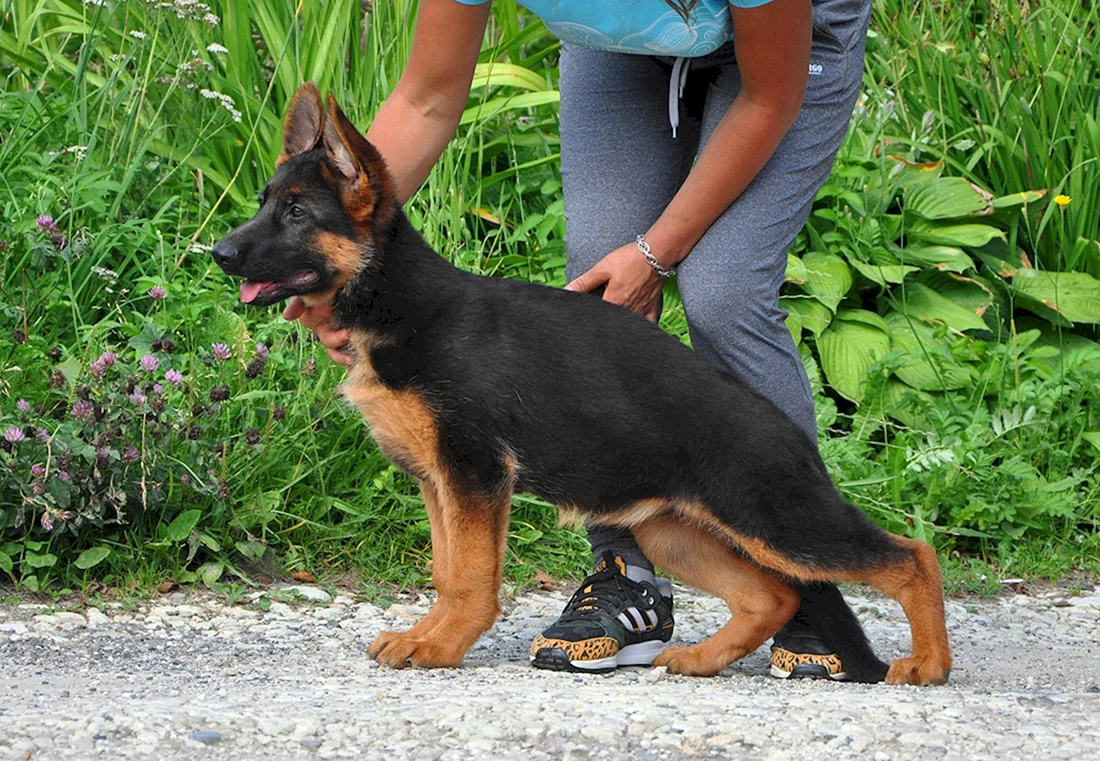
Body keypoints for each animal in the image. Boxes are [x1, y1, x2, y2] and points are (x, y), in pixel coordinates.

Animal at [210, 83, 950, 681]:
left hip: (780, 520)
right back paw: (703, 659)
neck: (398, 304)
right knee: (775, 594)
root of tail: (790, 427)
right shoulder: (438, 481)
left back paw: (929, 664)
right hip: (675, 532)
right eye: (266, 203)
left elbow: (469, 578)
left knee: (910, 556)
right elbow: (447, 572)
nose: (217, 253)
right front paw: (429, 636)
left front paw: (443, 646)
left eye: (297, 214)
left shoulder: (475, 476)